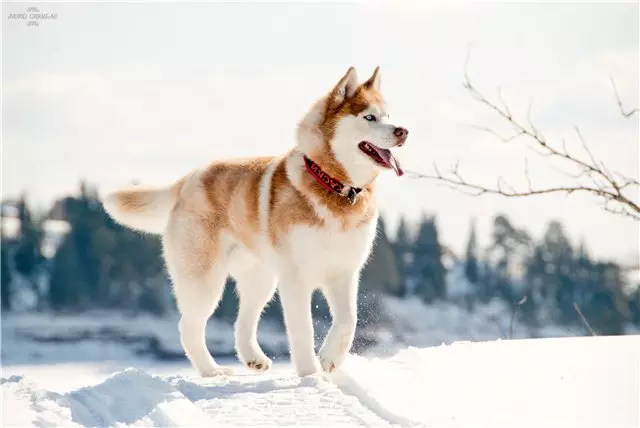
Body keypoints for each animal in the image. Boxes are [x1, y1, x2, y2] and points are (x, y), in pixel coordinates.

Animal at [102, 65, 408, 376]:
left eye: (388, 116)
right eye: (368, 117)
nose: (403, 131)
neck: (333, 186)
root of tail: (189, 179)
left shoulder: (344, 272)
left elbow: (348, 320)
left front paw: (329, 359)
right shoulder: (295, 278)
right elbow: (303, 330)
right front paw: (311, 374)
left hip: (260, 279)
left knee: (242, 323)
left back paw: (253, 358)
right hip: (204, 280)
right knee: (188, 328)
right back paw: (212, 371)